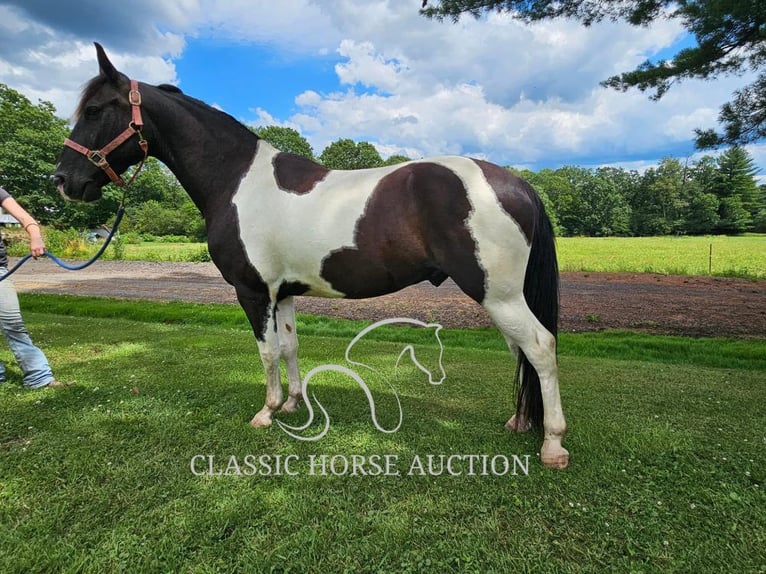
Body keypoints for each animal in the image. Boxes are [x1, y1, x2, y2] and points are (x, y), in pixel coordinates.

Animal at [54, 44, 568, 468]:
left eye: (96, 110)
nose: (63, 181)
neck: (236, 181)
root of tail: (519, 184)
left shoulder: (253, 291)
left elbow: (266, 350)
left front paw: (266, 412)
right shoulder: (283, 293)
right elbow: (290, 346)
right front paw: (294, 403)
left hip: (498, 295)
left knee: (539, 346)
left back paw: (552, 444)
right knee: (520, 351)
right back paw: (521, 422)